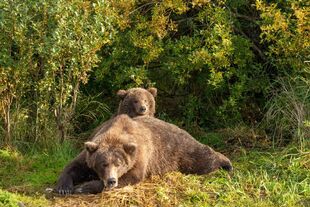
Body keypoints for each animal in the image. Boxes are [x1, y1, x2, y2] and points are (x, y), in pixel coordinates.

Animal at [54, 115, 232, 194]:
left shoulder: (140, 155)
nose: (111, 180)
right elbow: (74, 166)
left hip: (181, 149)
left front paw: (85, 186)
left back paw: (226, 163)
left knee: (202, 158)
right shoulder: (90, 150)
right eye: (103, 163)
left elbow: (133, 176)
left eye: (118, 164)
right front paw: (64, 187)